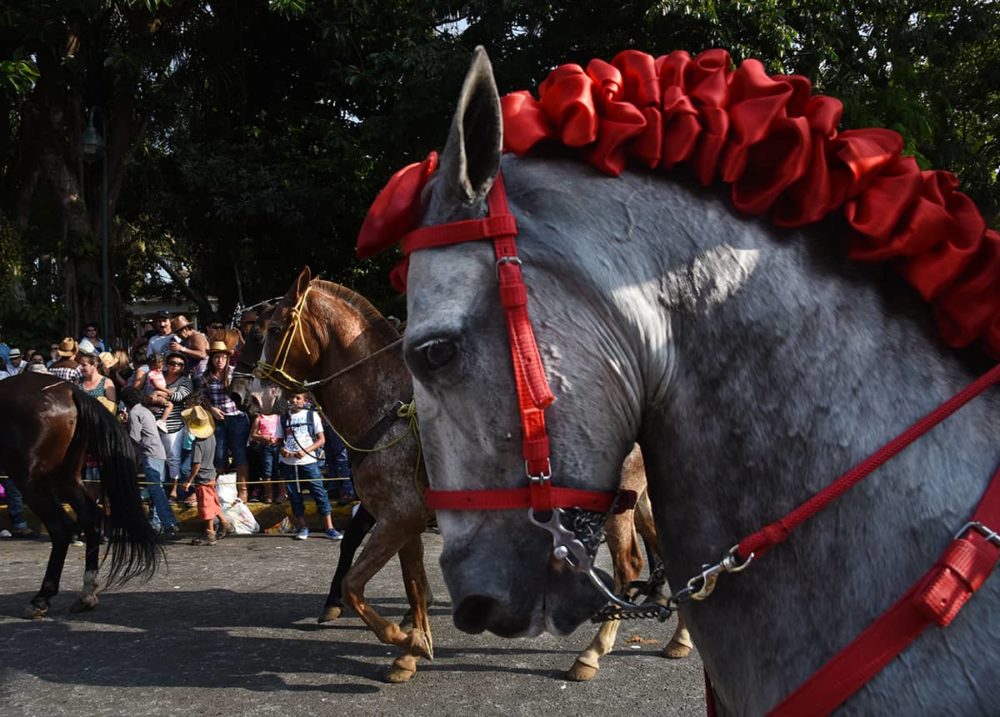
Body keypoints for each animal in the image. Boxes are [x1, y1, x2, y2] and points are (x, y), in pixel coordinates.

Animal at [0, 370, 160, 616]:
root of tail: (70, 390)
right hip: (65, 478)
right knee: (90, 516)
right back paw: (87, 593)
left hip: (32, 481)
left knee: (60, 527)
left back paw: (42, 598)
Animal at [235, 266, 692, 680]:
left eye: (273, 329)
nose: (250, 398)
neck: (386, 407)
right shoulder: (403, 520)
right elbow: (414, 585)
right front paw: (412, 649)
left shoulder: (397, 517)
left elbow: (354, 583)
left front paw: (406, 640)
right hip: (642, 499)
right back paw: (680, 638)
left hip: (619, 504)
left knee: (629, 566)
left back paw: (592, 653)